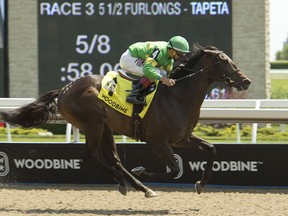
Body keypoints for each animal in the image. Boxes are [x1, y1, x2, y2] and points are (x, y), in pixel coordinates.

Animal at [0, 43, 251, 197]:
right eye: (224, 61)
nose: (245, 81)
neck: (177, 96)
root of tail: (64, 89)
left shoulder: (181, 138)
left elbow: (211, 149)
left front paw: (201, 183)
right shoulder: (157, 142)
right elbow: (174, 169)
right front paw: (142, 170)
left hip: (105, 128)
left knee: (114, 159)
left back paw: (135, 186)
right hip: (93, 125)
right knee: (91, 157)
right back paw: (135, 183)